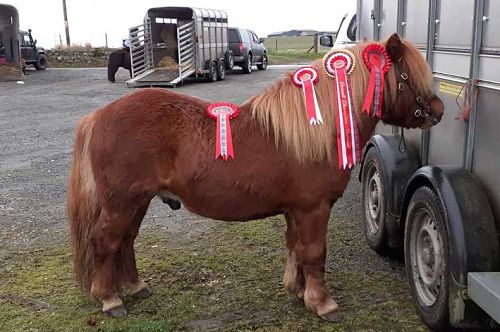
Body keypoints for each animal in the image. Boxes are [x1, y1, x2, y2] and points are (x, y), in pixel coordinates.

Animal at [67, 35, 446, 320]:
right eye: (408, 76)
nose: (438, 110)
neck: (317, 127)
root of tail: (98, 116)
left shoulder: (297, 210)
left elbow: (295, 248)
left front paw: (297, 291)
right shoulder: (314, 208)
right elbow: (314, 252)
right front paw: (322, 303)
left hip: (138, 202)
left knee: (125, 241)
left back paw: (135, 286)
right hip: (122, 203)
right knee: (105, 242)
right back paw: (110, 299)